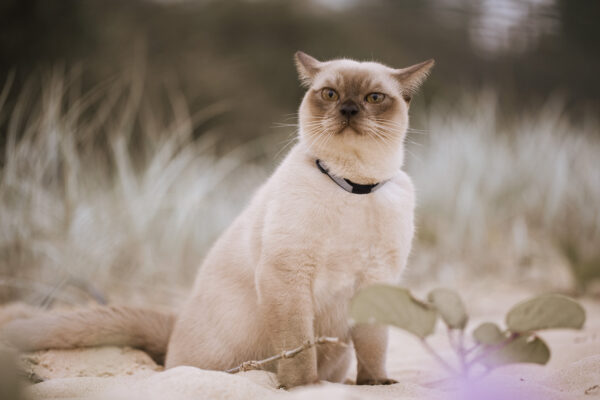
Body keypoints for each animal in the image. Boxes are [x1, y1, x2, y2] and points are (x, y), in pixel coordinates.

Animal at [2, 51, 434, 390]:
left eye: (374, 97)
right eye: (330, 94)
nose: (348, 110)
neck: (353, 185)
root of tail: (174, 329)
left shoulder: (377, 278)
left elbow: (375, 346)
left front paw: (376, 383)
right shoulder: (288, 273)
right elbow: (298, 350)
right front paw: (303, 388)